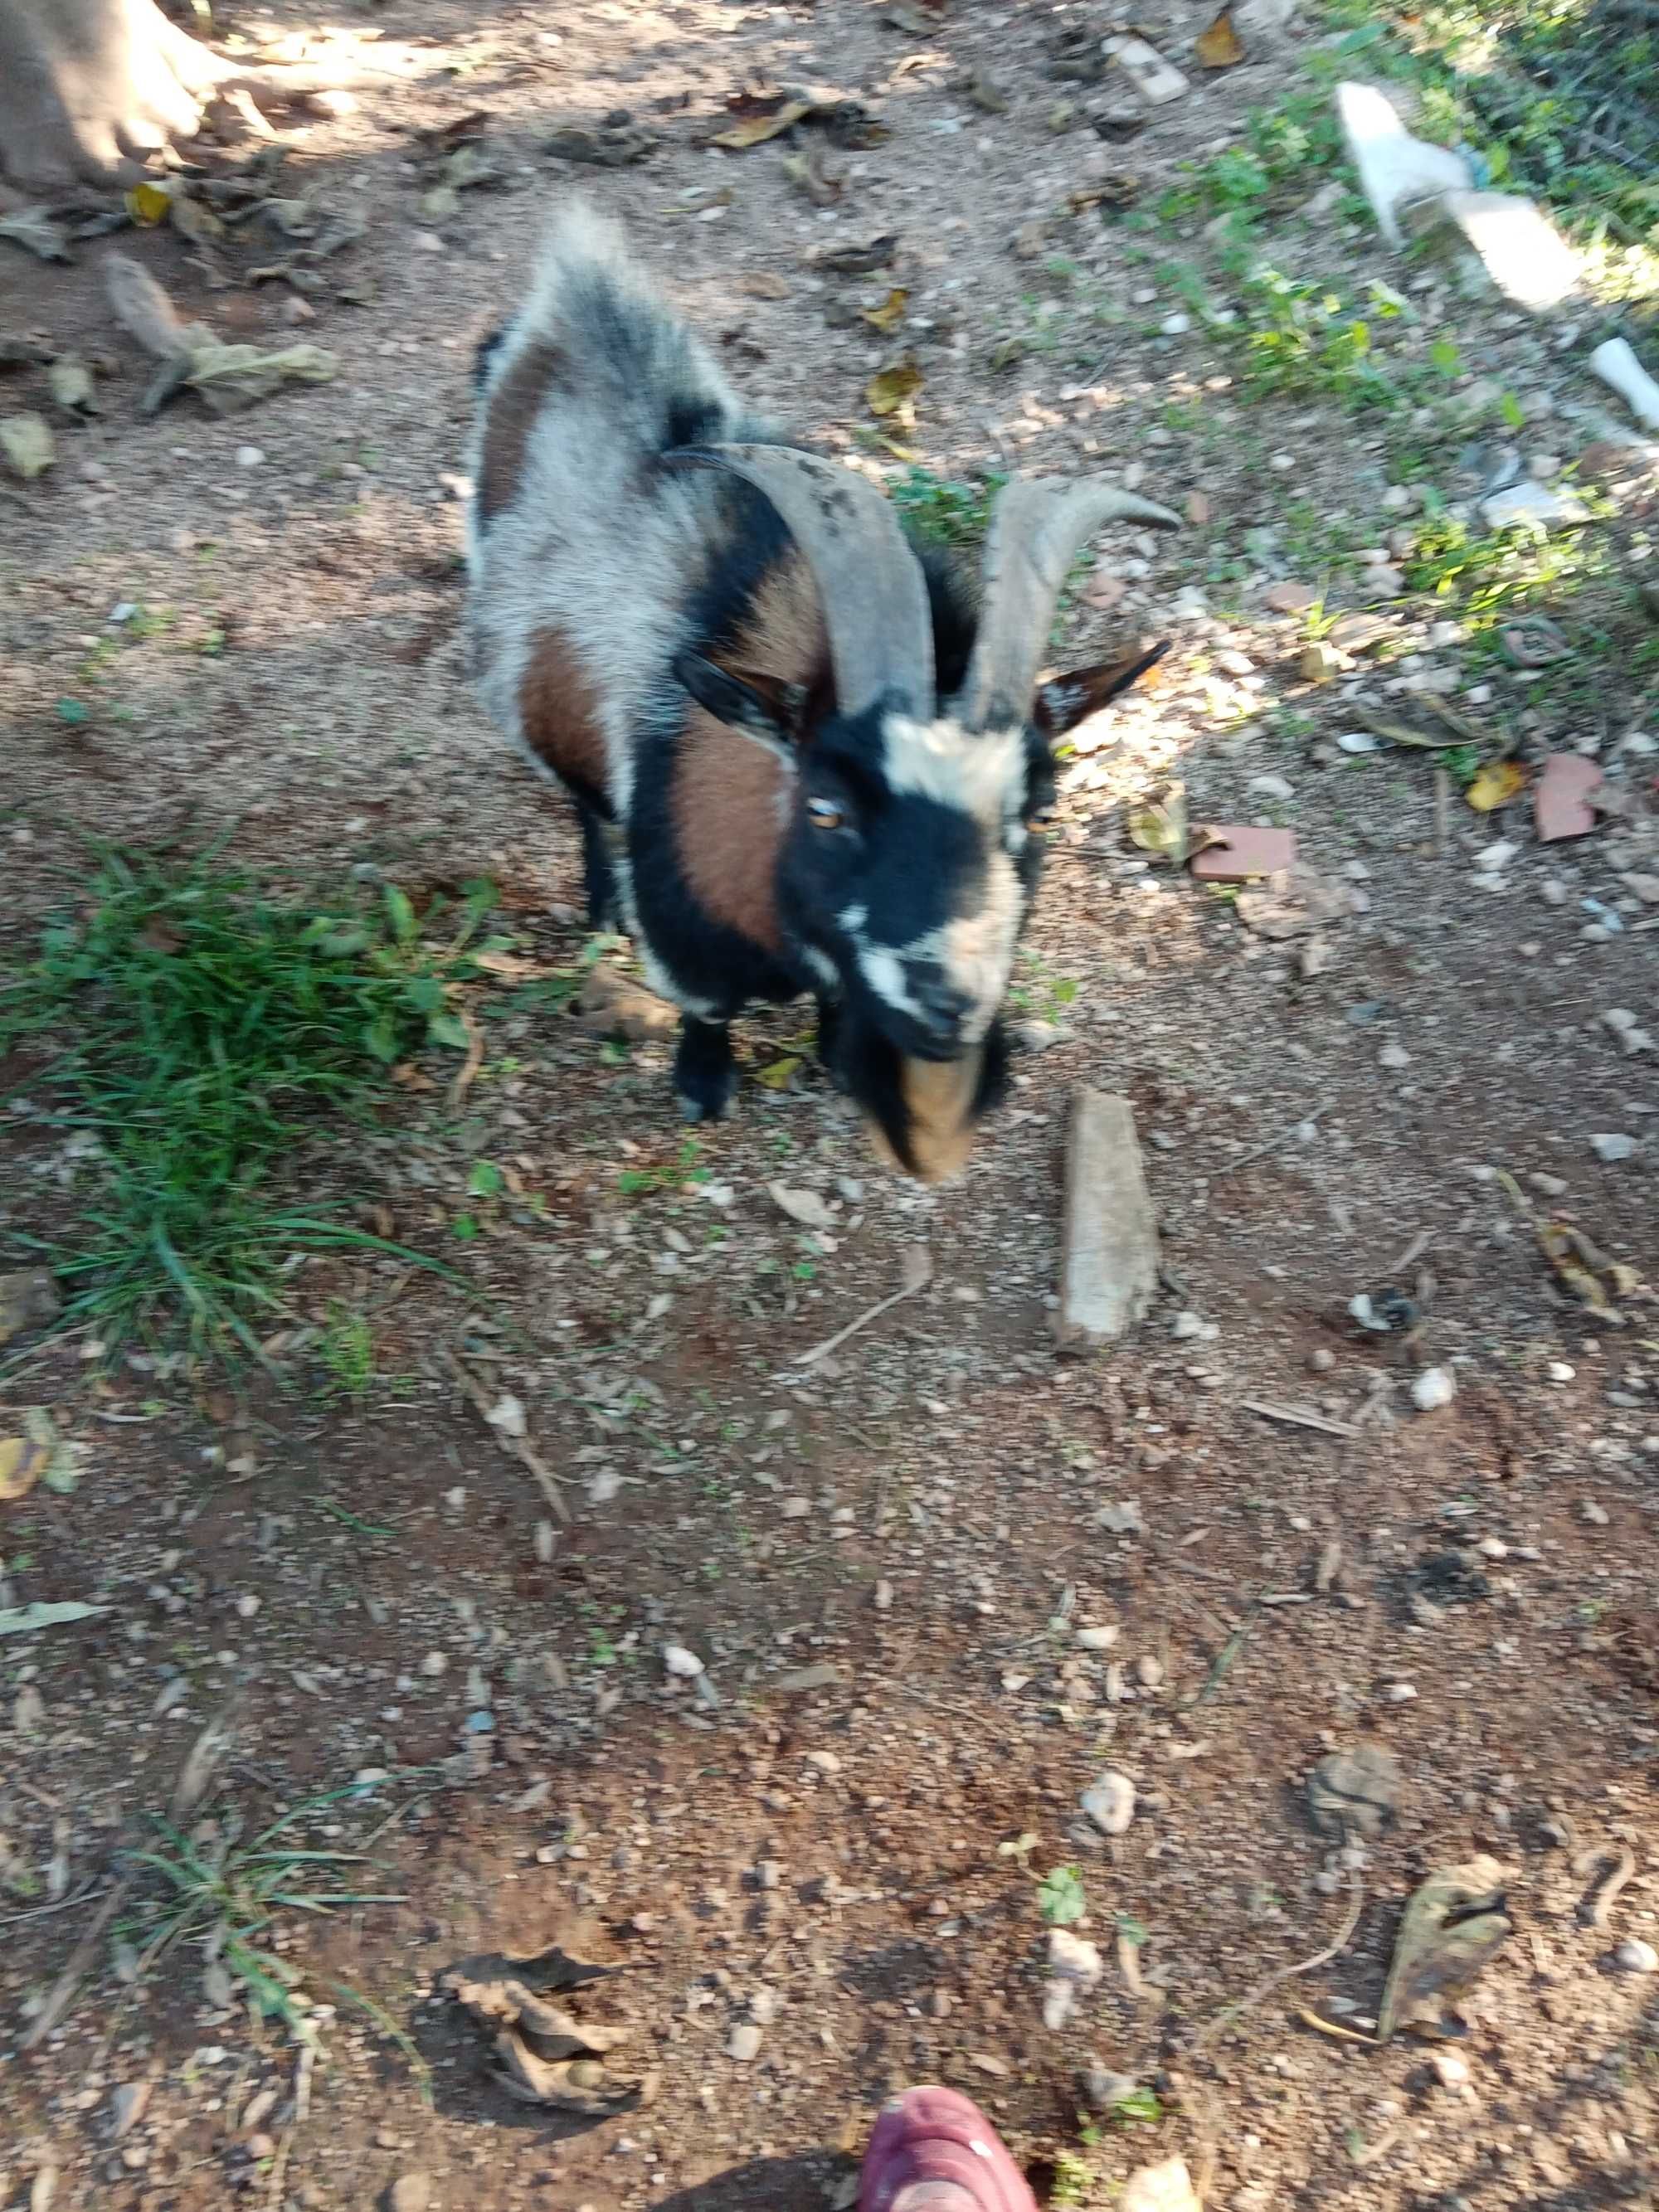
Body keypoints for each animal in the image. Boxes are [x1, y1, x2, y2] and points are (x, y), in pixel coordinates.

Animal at [462, 206, 1176, 1176]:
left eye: (1039, 810)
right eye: (826, 809)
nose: (951, 1004)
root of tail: (571, 303)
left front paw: (832, 1057)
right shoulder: (687, 928)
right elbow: (706, 1007)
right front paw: (702, 1084)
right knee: (582, 799)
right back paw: (600, 901)